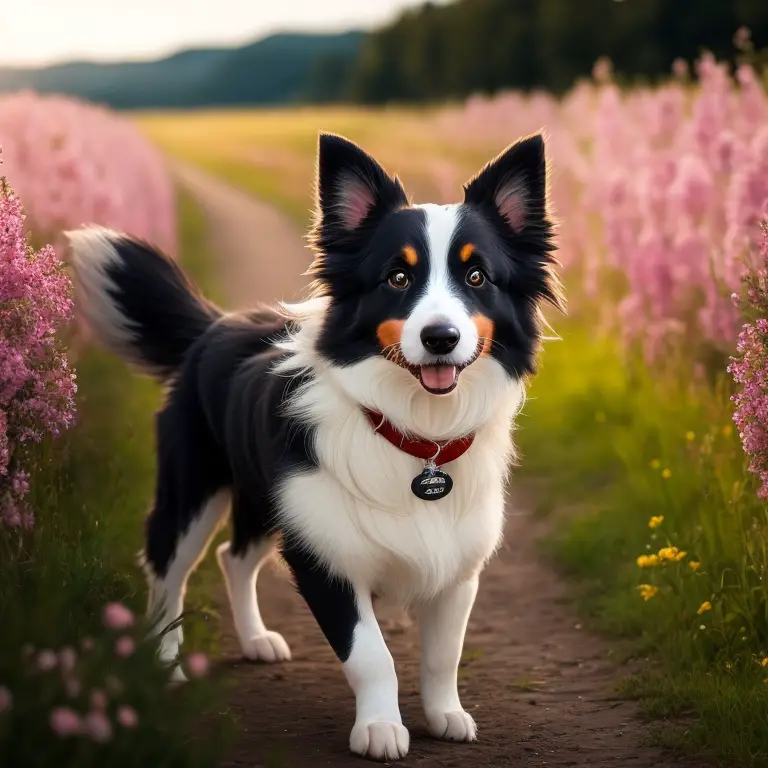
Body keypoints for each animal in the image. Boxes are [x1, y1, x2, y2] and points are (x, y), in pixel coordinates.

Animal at [66, 134, 564, 760]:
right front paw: (380, 729)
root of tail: (214, 325)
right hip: (192, 490)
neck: (413, 436)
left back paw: (256, 640)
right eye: (397, 279)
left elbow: (442, 655)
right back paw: (166, 665)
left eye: (477, 278)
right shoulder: (326, 555)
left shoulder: (456, 567)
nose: (440, 338)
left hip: (266, 500)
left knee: (234, 558)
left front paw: (445, 715)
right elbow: (371, 655)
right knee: (167, 570)